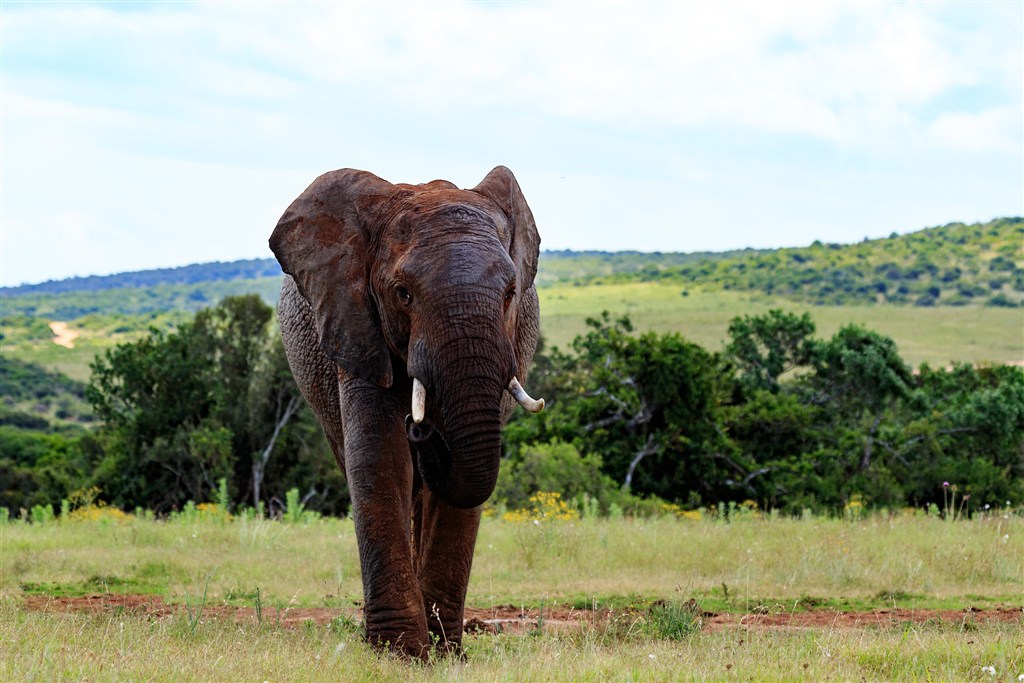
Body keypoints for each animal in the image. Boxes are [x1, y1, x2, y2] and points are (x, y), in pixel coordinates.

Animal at [270, 163, 544, 655]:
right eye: (402, 293)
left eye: (511, 292)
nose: (421, 429)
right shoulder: (355, 322)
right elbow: (379, 459)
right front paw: (401, 653)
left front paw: (445, 652)